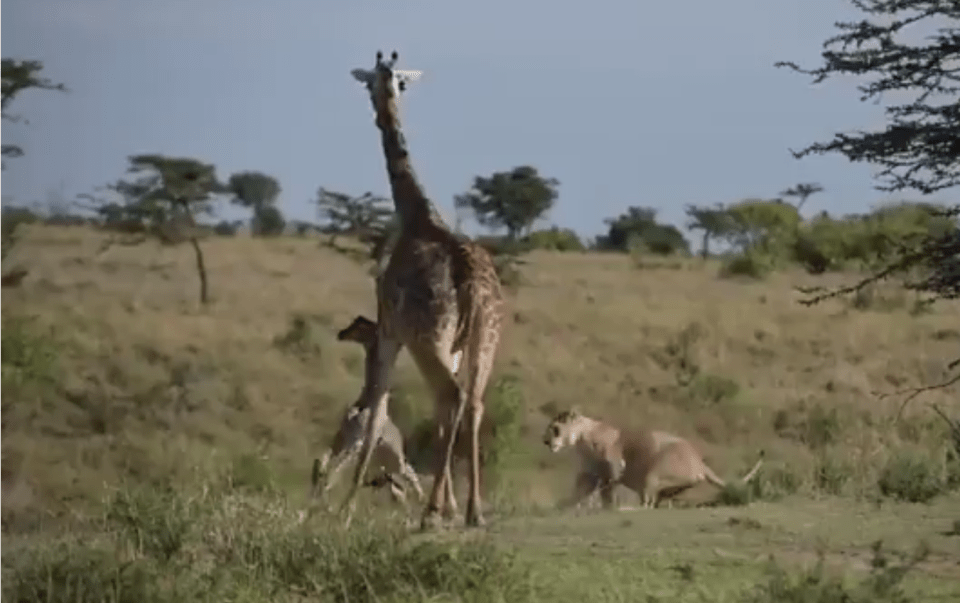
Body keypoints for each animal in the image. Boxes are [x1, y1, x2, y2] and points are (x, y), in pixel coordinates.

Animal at [340, 52, 502, 532]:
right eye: (394, 82)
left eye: (372, 83)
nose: (378, 110)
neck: (416, 214)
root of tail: (469, 281)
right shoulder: (452, 345)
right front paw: (449, 505)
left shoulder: (391, 330)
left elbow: (376, 411)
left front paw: (345, 508)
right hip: (484, 340)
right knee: (474, 402)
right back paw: (473, 510)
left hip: (428, 338)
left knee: (454, 396)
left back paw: (431, 513)